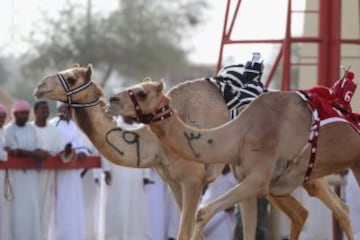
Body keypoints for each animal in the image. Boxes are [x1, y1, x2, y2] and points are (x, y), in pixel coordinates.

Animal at [33, 64, 354, 239]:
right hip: (274, 182)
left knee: (339, 208)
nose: (39, 86)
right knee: (302, 213)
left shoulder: (193, 179)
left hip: (298, 172)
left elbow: (185, 231)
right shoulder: (173, 181)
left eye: (72, 78)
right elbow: (189, 229)